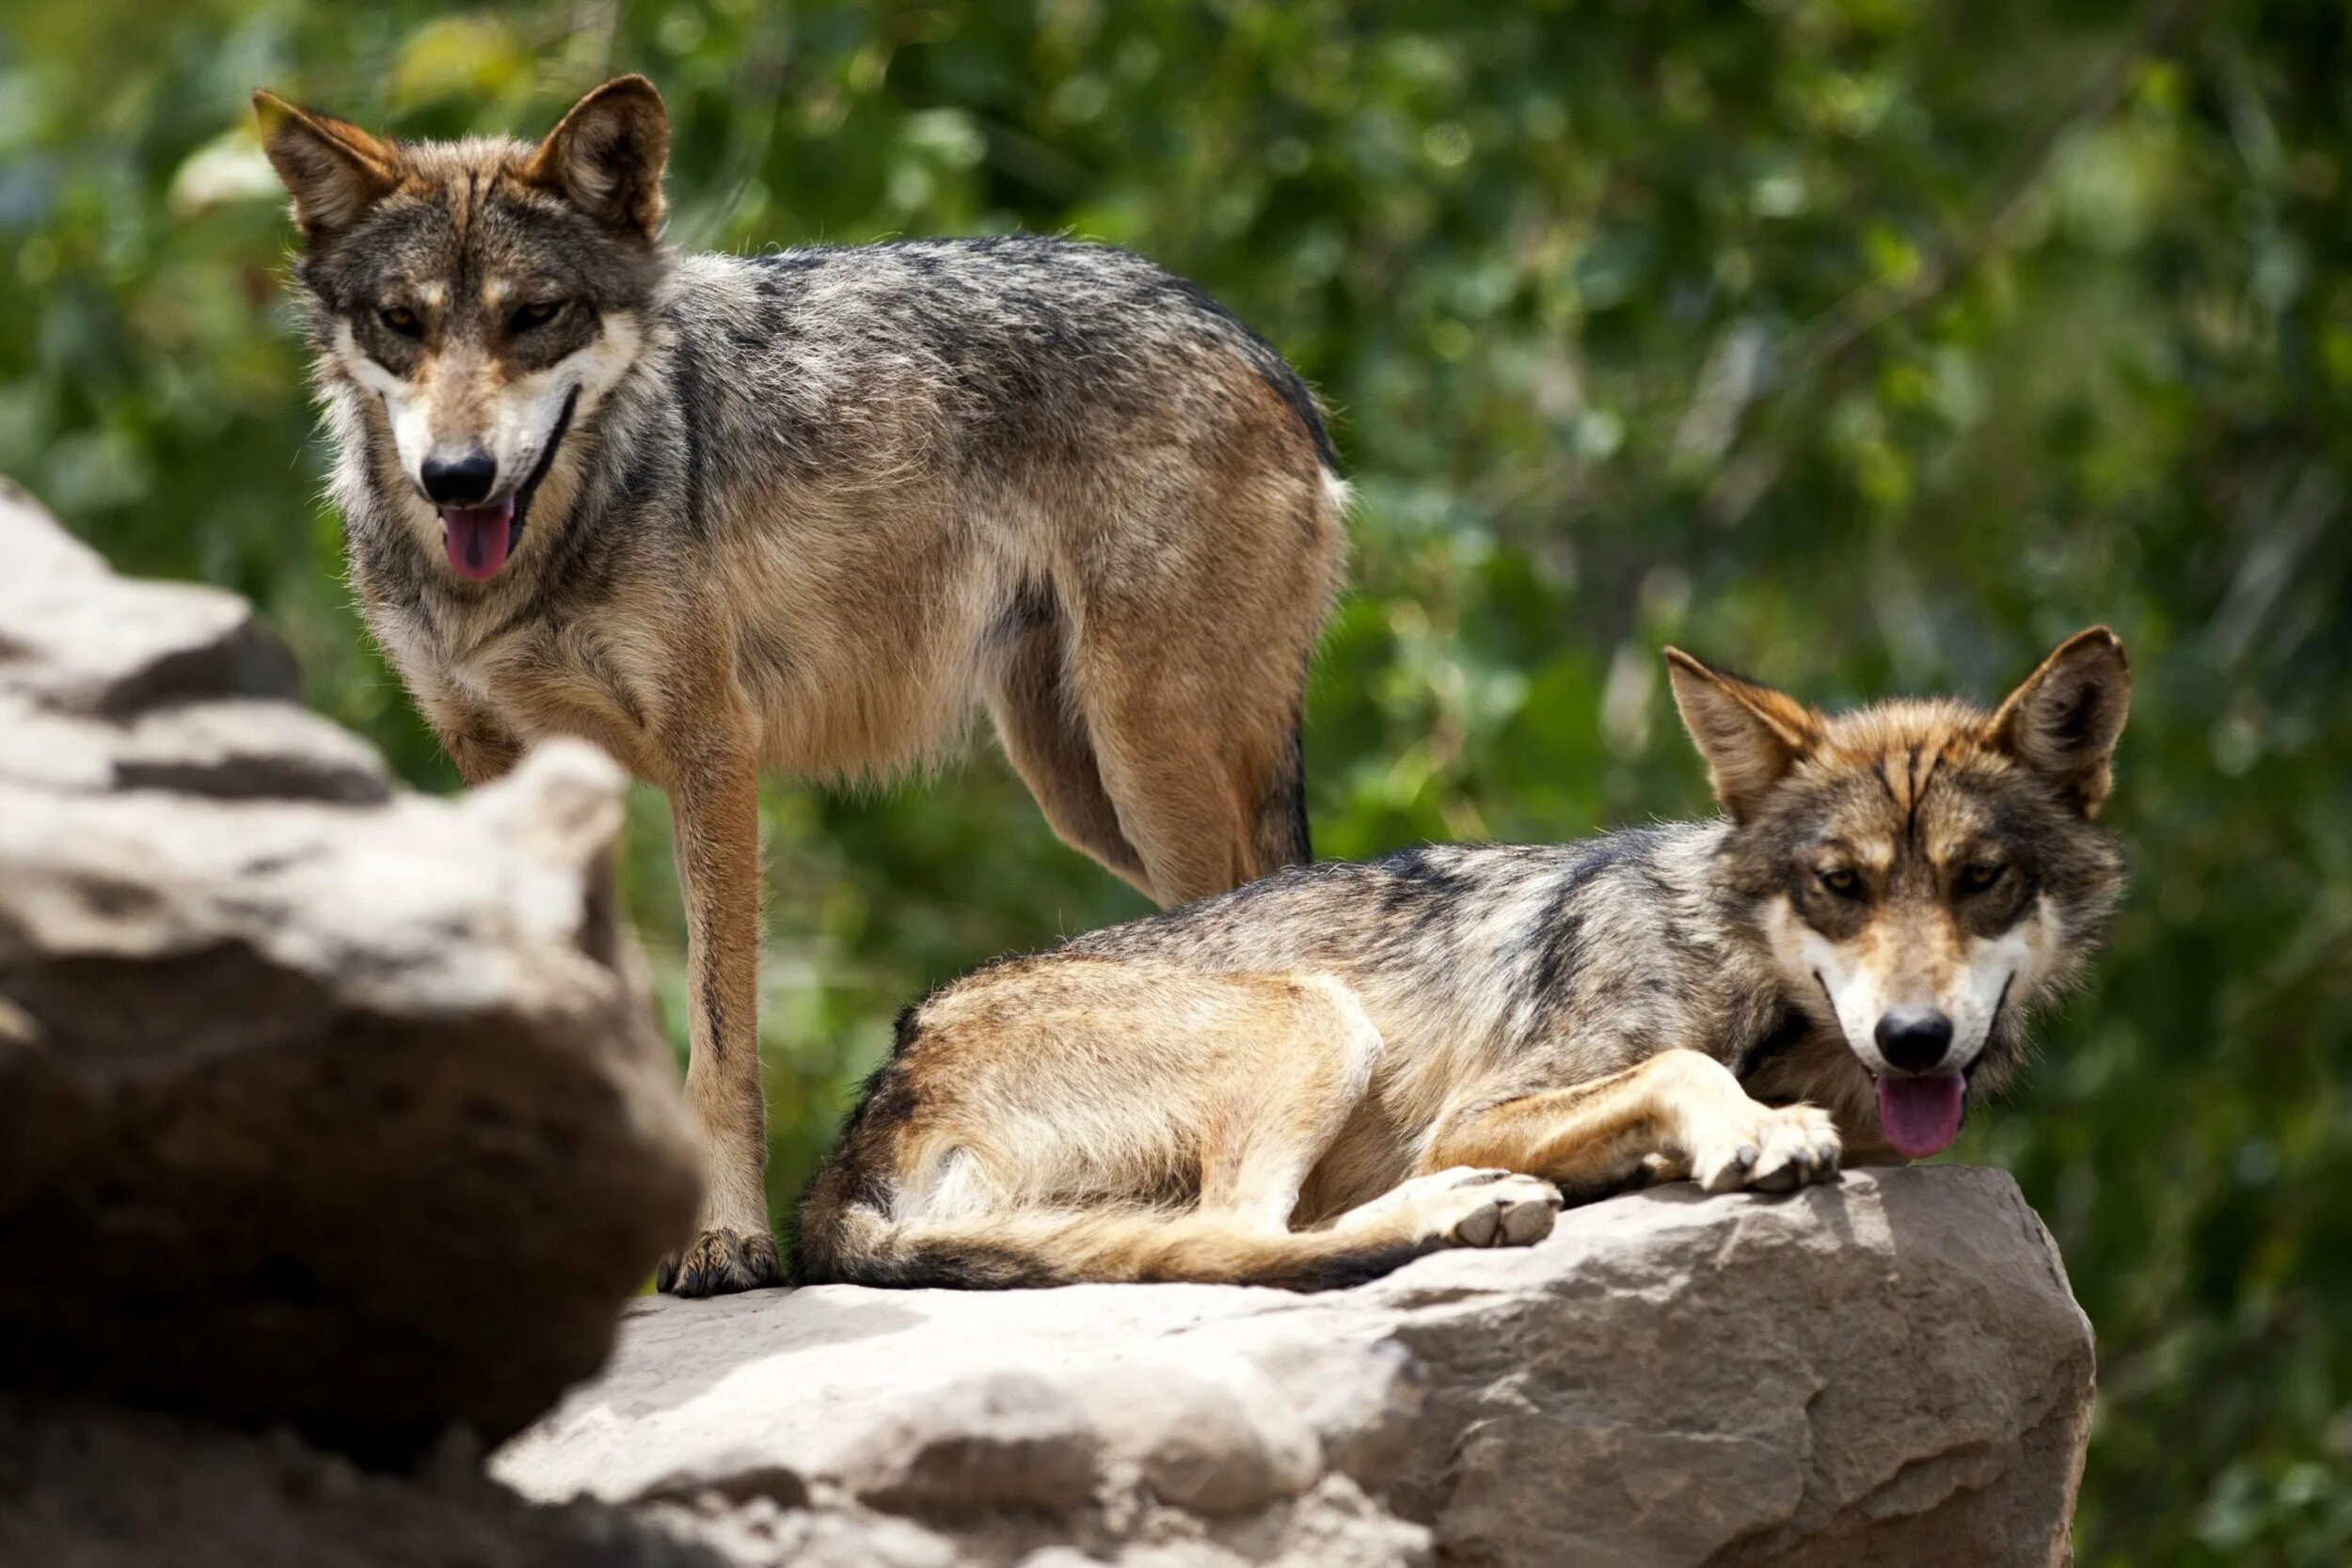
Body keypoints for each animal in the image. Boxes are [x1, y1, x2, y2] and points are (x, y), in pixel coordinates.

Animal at [255, 79, 1345, 1297]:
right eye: (402, 321)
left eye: (536, 314)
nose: (458, 477)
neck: (530, 560)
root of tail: (1257, 348)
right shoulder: (501, 765)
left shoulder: (710, 748)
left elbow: (721, 1035)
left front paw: (724, 1238)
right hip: (1083, 789)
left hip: (1146, 760)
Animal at [795, 629, 2136, 1297]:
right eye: (1840, 886)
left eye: (1979, 879)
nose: (1914, 1040)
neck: (1753, 980)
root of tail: (855, 1140)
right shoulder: (1482, 1107)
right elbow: (1681, 1069)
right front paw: (1748, 1129)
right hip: (1316, 1019)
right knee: (1241, 1234)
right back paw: (1464, 1207)